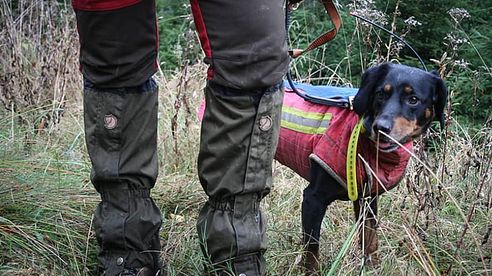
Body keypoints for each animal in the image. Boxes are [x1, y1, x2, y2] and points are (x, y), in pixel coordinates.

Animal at [274, 63, 448, 272]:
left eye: (413, 99)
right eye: (380, 94)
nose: (381, 127)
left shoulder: (367, 198)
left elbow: (370, 239)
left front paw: (372, 268)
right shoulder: (313, 199)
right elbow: (312, 249)